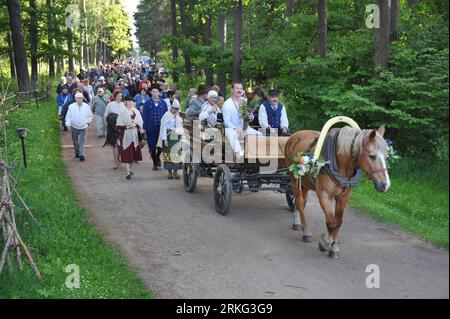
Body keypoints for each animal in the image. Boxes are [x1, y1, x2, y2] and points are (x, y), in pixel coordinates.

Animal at [284, 125, 390, 260]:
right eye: (372, 156)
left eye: (386, 157)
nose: (385, 185)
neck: (340, 164)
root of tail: (295, 135)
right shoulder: (324, 195)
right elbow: (331, 222)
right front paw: (325, 243)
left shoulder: (343, 197)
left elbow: (338, 222)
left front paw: (334, 248)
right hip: (294, 180)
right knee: (300, 202)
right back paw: (306, 232)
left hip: (305, 184)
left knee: (301, 202)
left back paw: (297, 223)